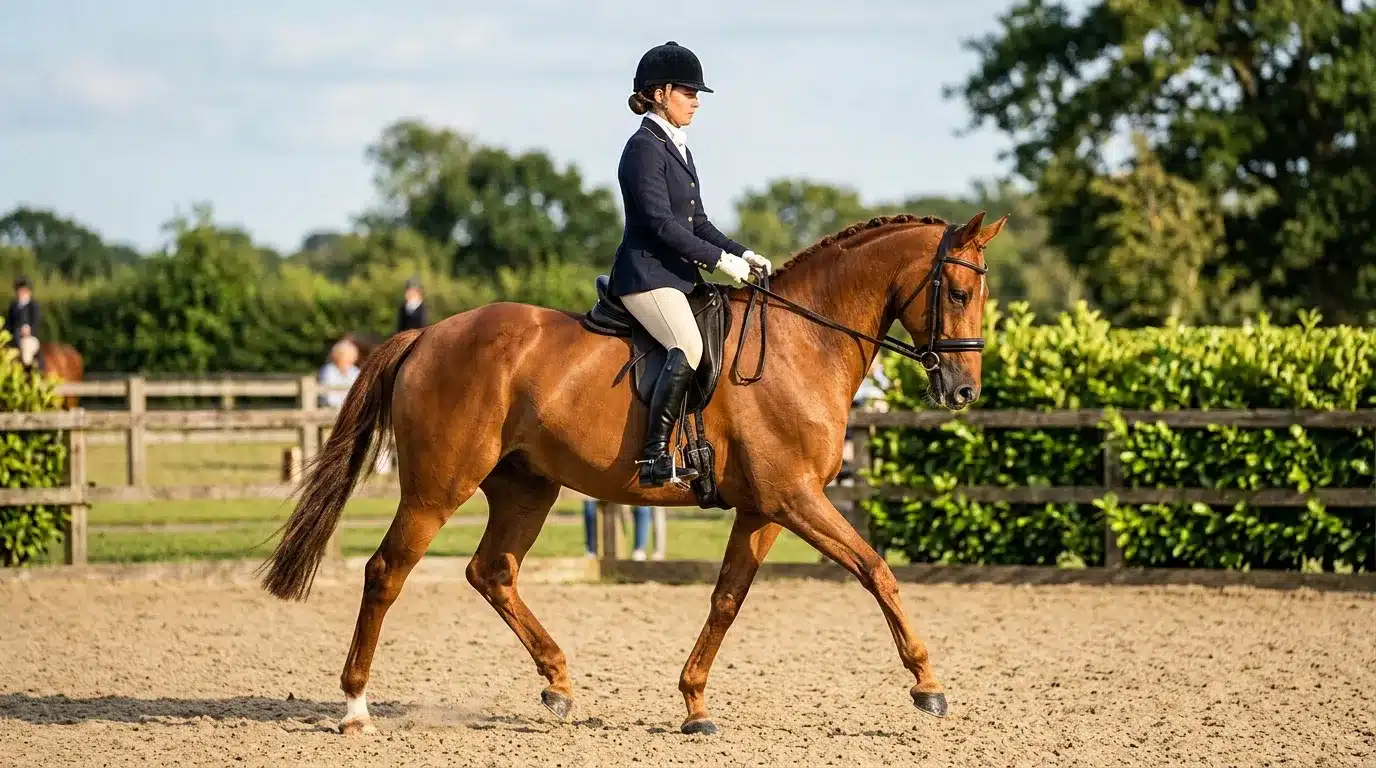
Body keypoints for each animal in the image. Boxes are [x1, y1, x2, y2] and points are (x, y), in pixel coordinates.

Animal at [260, 211, 1006, 736]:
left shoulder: (764, 508)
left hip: (528, 487)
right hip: (438, 488)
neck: (804, 344)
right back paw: (355, 706)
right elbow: (876, 569)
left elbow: (727, 599)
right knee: (387, 572)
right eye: (957, 291)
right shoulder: (796, 499)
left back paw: (558, 684)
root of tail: (427, 335)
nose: (964, 391)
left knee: (492, 571)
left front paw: (695, 703)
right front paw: (927, 685)